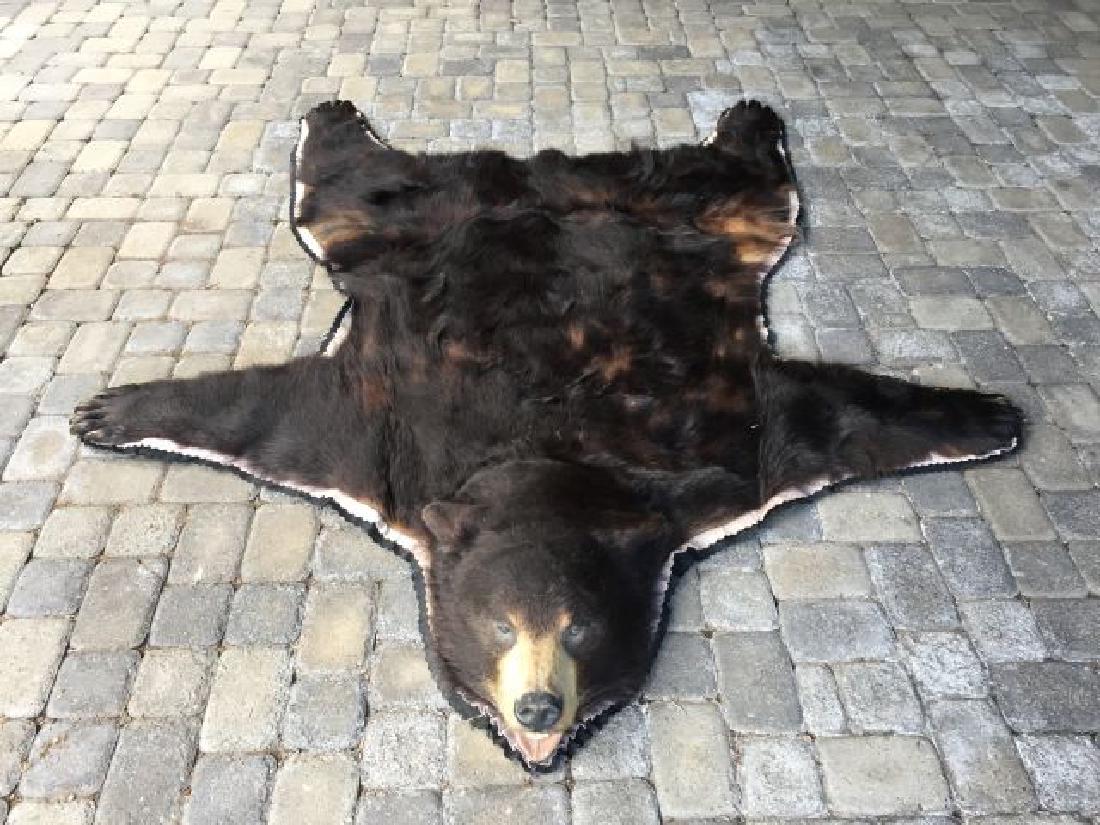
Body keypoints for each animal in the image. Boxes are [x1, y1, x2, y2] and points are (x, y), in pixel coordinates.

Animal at [71, 99, 1022, 767]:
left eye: (580, 630)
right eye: (500, 628)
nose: (536, 710)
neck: (547, 460)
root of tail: (539, 176)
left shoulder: (734, 455)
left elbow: (830, 415)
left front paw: (993, 415)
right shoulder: (377, 437)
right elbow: (272, 411)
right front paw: (107, 410)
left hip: (717, 227)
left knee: (749, 188)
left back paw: (748, 116)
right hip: (387, 232)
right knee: (341, 189)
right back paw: (337, 113)